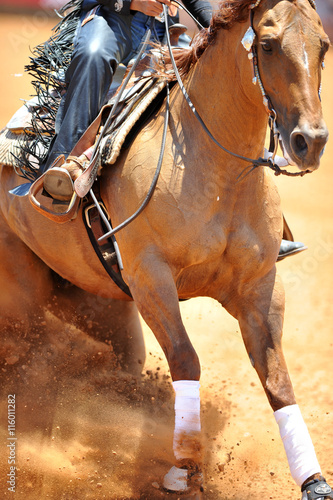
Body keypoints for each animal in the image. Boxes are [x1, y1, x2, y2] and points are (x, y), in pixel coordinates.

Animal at [0, 0, 330, 496]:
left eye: (323, 45)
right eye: (269, 45)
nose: (310, 141)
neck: (220, 174)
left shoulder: (260, 286)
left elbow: (278, 381)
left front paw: (313, 479)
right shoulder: (151, 279)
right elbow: (186, 360)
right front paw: (183, 468)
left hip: (101, 309)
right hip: (23, 303)